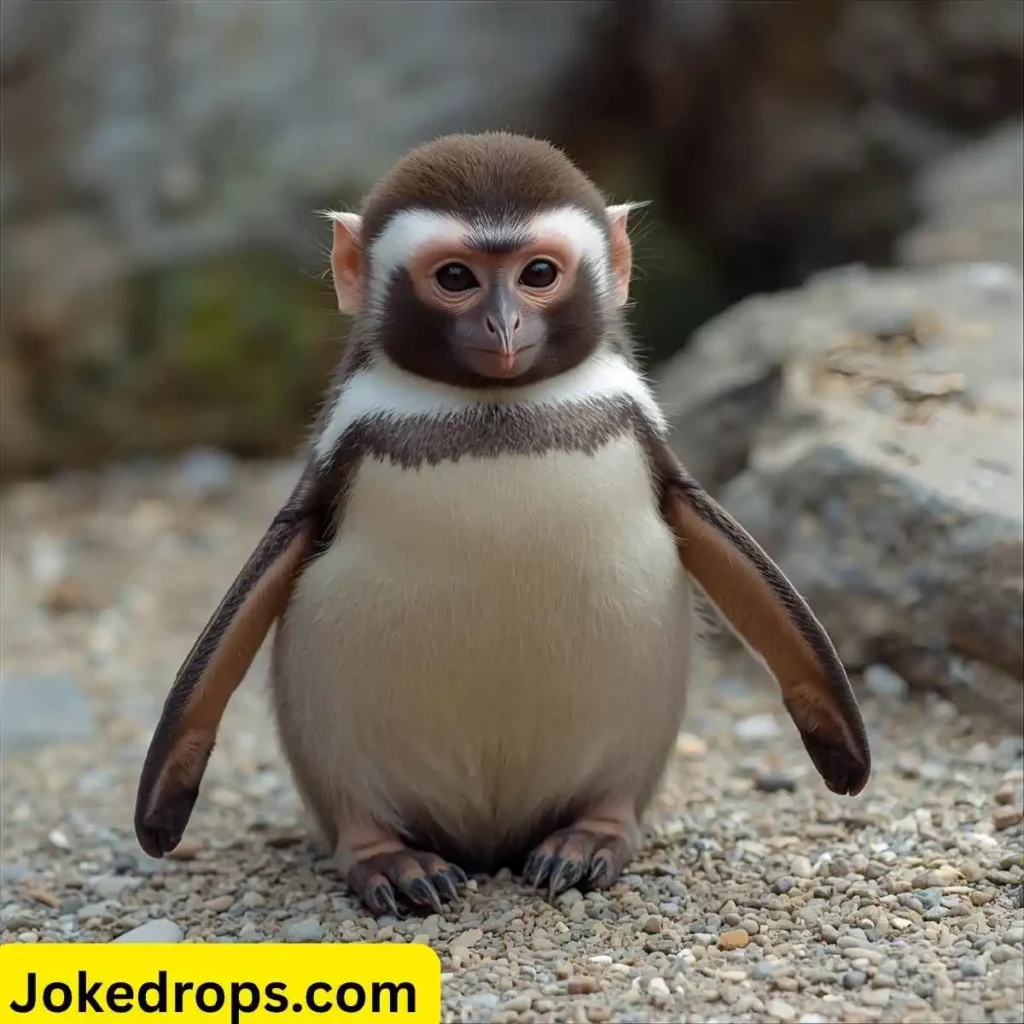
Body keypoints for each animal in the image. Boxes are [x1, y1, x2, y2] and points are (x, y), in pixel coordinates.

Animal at [134, 132, 870, 917]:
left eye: (538, 273)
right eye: (455, 277)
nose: (505, 326)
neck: (496, 412)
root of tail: (489, 843)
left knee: (613, 795)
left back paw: (579, 847)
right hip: (341, 752)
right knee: (355, 810)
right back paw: (400, 867)